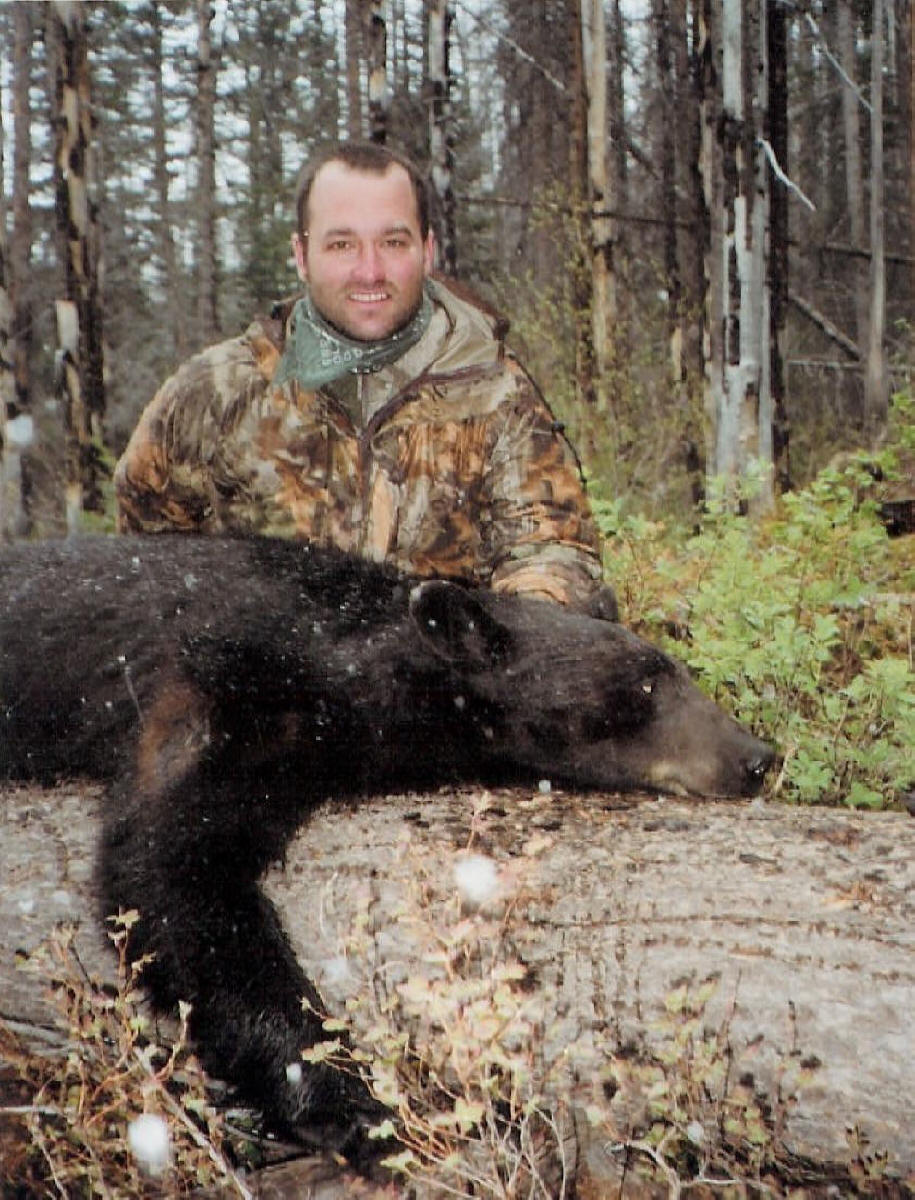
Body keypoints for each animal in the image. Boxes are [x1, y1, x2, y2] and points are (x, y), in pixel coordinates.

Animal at [0, 534, 774, 1158]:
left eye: (676, 670)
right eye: (644, 684)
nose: (759, 757)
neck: (337, 647)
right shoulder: (214, 686)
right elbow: (166, 868)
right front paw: (345, 1098)